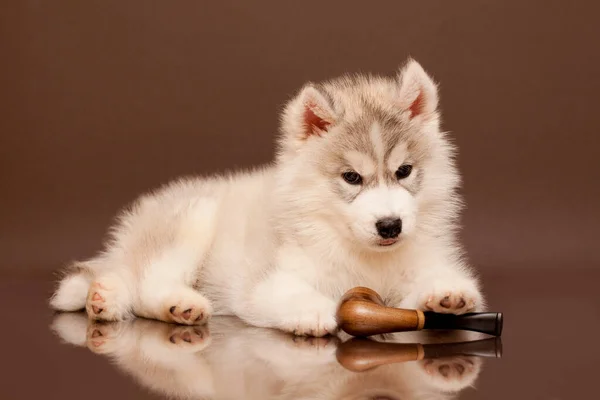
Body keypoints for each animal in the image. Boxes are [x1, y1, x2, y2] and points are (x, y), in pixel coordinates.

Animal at [49, 57, 486, 336]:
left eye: (404, 171)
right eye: (351, 177)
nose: (390, 226)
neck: (363, 256)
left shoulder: (418, 264)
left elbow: (423, 290)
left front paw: (446, 293)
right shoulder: (267, 281)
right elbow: (287, 292)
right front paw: (313, 311)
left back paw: (106, 300)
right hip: (193, 217)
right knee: (147, 282)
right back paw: (171, 304)